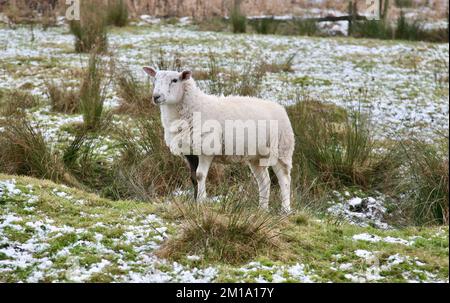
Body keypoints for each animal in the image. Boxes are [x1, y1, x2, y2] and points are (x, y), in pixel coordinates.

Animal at [142, 67, 296, 214]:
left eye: (174, 80)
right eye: (154, 79)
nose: (156, 97)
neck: (195, 106)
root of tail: (280, 107)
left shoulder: (206, 150)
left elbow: (200, 176)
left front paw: (201, 202)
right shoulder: (190, 152)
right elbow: (193, 177)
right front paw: (194, 202)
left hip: (282, 150)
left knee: (284, 179)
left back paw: (285, 209)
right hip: (256, 156)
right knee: (264, 181)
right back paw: (262, 209)